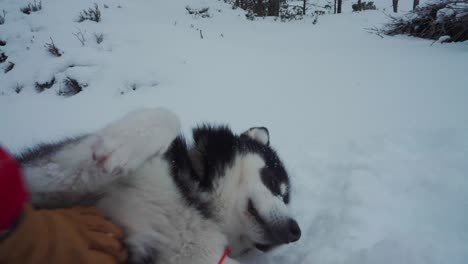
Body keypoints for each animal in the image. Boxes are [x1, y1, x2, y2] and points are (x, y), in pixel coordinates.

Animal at [16, 108, 302, 264]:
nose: (295, 231)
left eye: (286, 197)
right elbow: (169, 117)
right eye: (274, 183)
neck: (197, 204)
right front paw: (122, 145)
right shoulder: (50, 175)